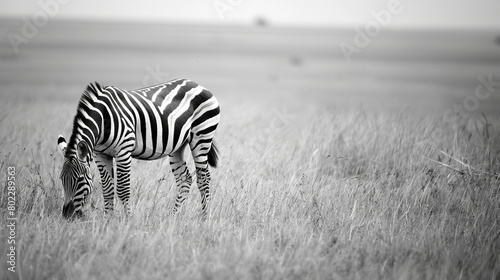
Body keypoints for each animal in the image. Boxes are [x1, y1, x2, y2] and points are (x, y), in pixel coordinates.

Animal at [56, 78, 219, 219]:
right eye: (61, 179)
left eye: (80, 179)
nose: (67, 215)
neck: (103, 120)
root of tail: (196, 84)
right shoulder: (100, 154)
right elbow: (107, 190)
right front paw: (108, 221)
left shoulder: (124, 150)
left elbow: (123, 190)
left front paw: (128, 220)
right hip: (177, 146)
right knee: (184, 179)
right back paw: (174, 218)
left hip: (201, 136)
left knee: (203, 179)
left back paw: (204, 218)